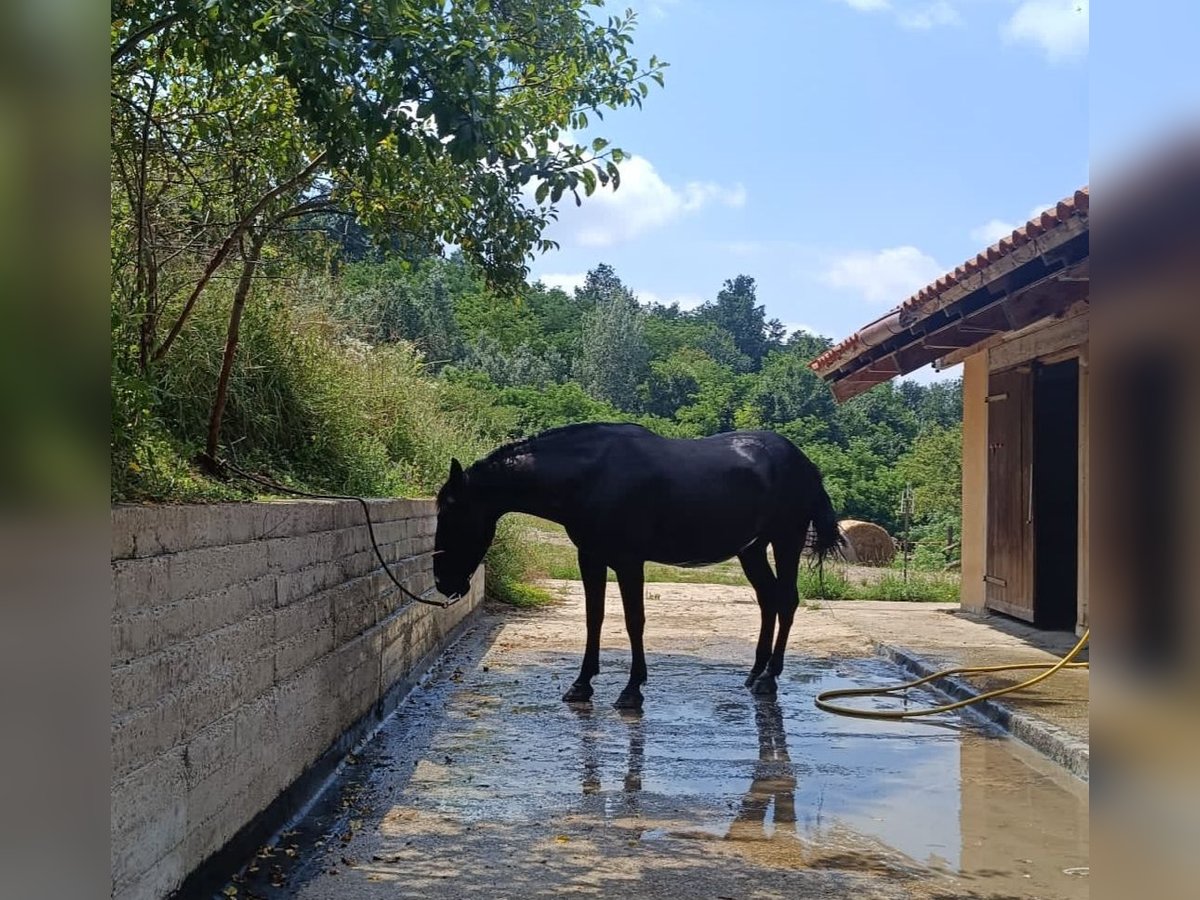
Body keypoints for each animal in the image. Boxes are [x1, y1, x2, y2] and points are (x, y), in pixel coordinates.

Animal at [434, 424, 844, 710]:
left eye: (452, 514)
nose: (443, 582)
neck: (594, 475)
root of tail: (806, 464)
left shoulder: (629, 561)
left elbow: (634, 621)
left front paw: (632, 691)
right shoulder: (591, 557)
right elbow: (594, 617)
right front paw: (581, 684)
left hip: (786, 540)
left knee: (787, 601)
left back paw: (769, 679)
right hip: (752, 550)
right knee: (768, 600)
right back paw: (755, 673)